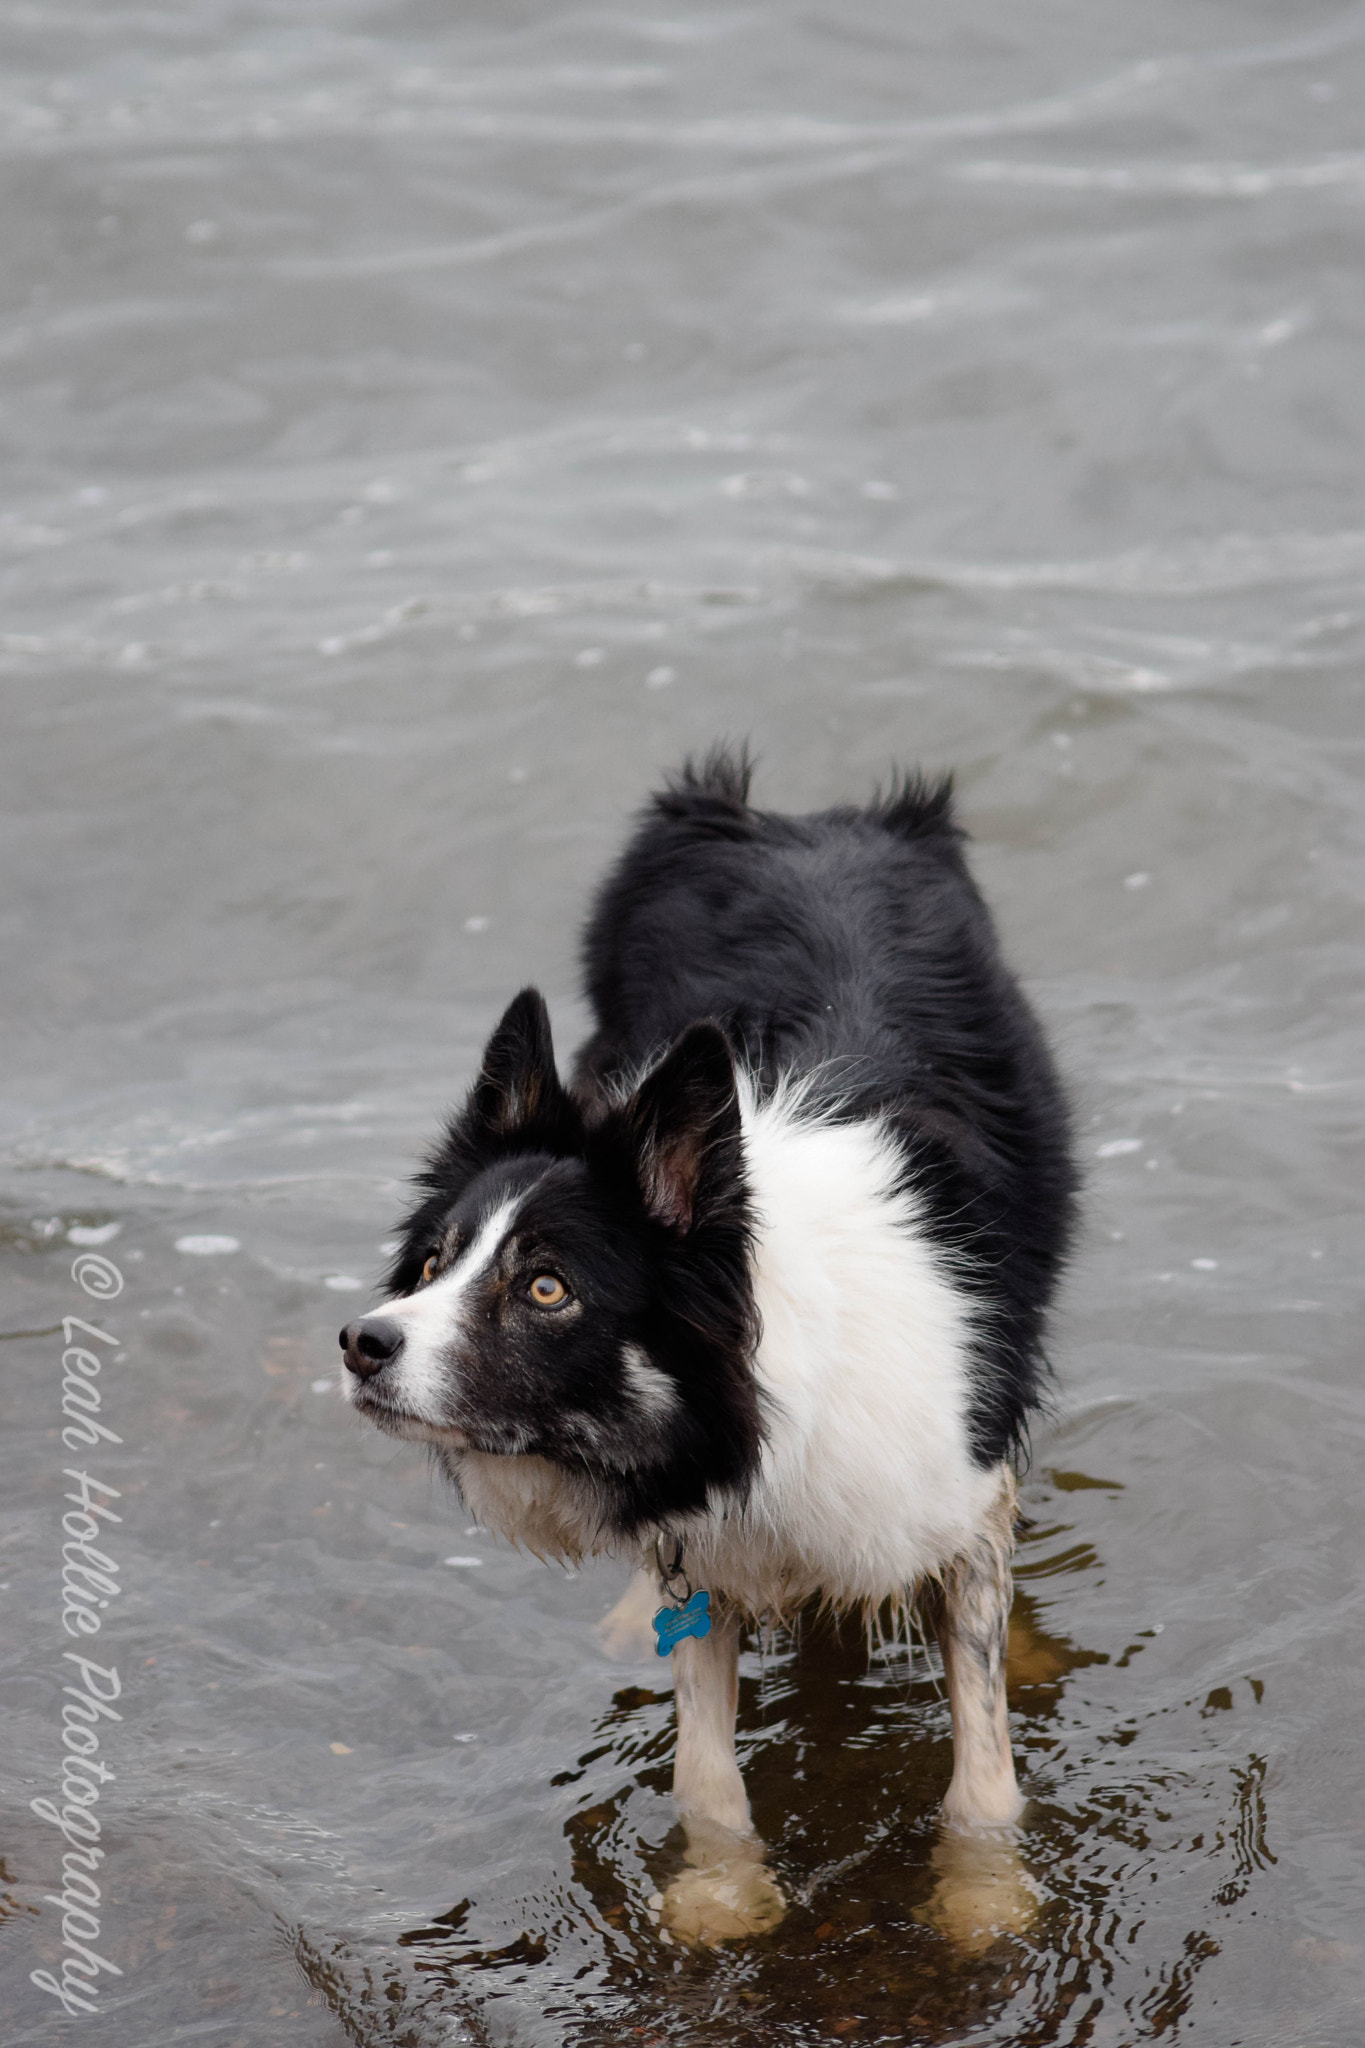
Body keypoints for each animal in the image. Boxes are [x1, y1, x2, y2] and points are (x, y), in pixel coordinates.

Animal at [341, 761, 1080, 1941]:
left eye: (546, 1288)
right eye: (434, 1263)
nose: (362, 1341)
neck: (755, 1419)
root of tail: (792, 816)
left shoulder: (952, 1500)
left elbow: (982, 1752)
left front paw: (982, 1896)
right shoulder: (700, 1544)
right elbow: (702, 1763)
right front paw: (721, 1895)